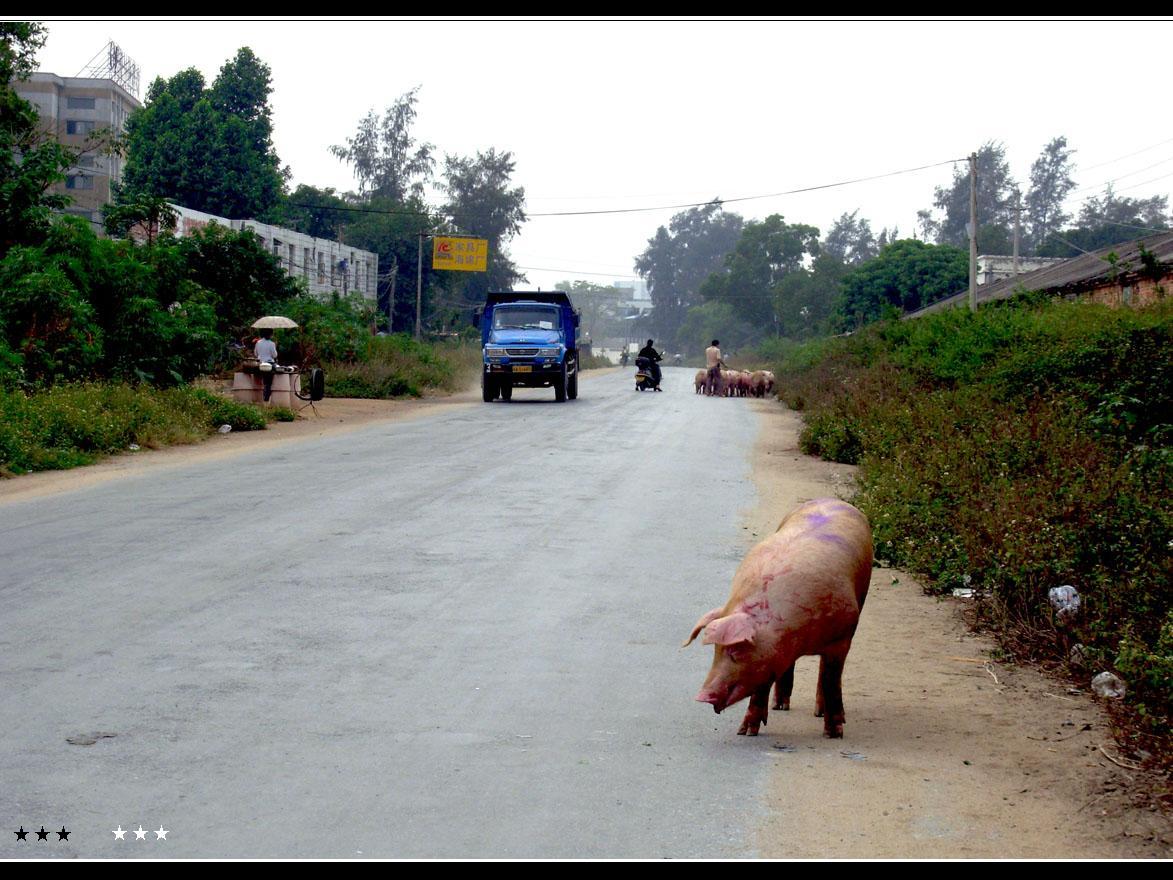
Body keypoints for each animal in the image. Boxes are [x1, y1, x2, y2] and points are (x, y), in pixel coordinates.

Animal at [680, 499, 872, 741]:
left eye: (735, 649)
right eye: (715, 650)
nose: (702, 695)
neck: (798, 637)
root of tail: (832, 500)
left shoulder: (842, 638)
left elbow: (831, 682)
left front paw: (834, 734)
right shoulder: (767, 658)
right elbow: (761, 687)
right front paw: (745, 732)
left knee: (825, 675)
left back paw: (819, 714)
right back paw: (779, 706)